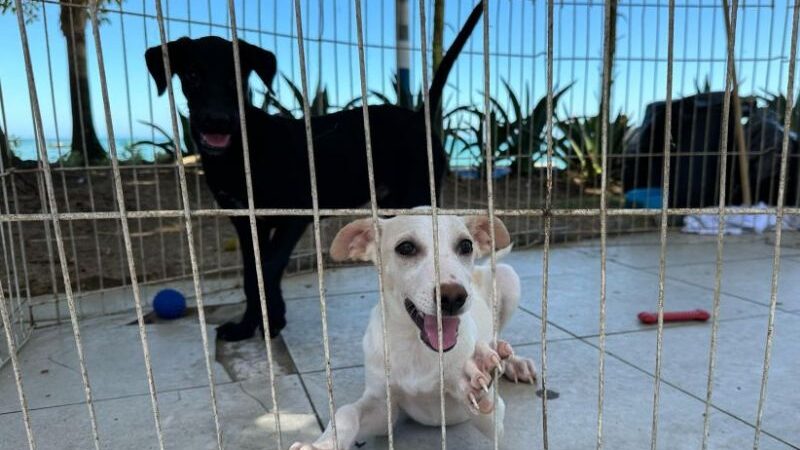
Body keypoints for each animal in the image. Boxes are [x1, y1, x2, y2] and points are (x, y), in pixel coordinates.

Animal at [147, 3, 484, 342]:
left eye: (236, 79)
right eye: (192, 75)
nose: (217, 121)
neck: (243, 151)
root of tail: (418, 117)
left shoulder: (294, 216)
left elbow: (268, 268)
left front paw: (271, 320)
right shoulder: (245, 222)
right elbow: (252, 273)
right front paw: (251, 324)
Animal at [290, 213, 536, 448]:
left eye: (466, 245)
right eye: (406, 248)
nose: (453, 297)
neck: (416, 346)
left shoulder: (495, 422)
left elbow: (488, 410)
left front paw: (477, 373)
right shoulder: (383, 409)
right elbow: (346, 412)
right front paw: (321, 444)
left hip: (508, 277)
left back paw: (513, 362)